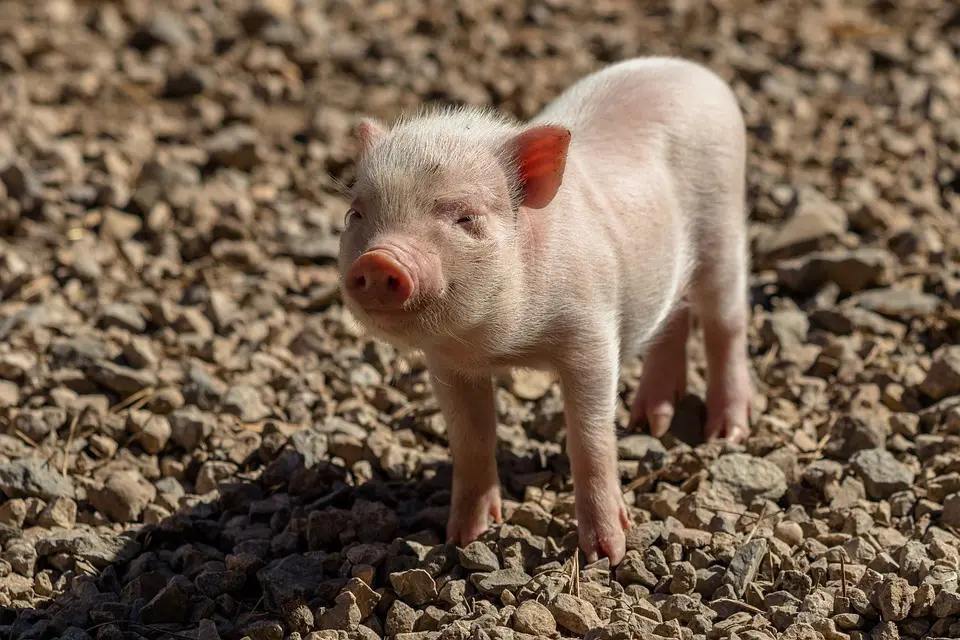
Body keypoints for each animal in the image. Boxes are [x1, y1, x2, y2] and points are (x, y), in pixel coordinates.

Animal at [337, 56, 752, 564]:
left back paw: (726, 433)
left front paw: (606, 554)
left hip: (724, 228)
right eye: (355, 215)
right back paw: (649, 421)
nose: (379, 260)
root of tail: (696, 72)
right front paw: (465, 539)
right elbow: (471, 439)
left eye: (466, 218)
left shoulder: (592, 333)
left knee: (726, 323)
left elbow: (589, 438)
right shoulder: (449, 363)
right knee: (672, 320)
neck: (505, 344)